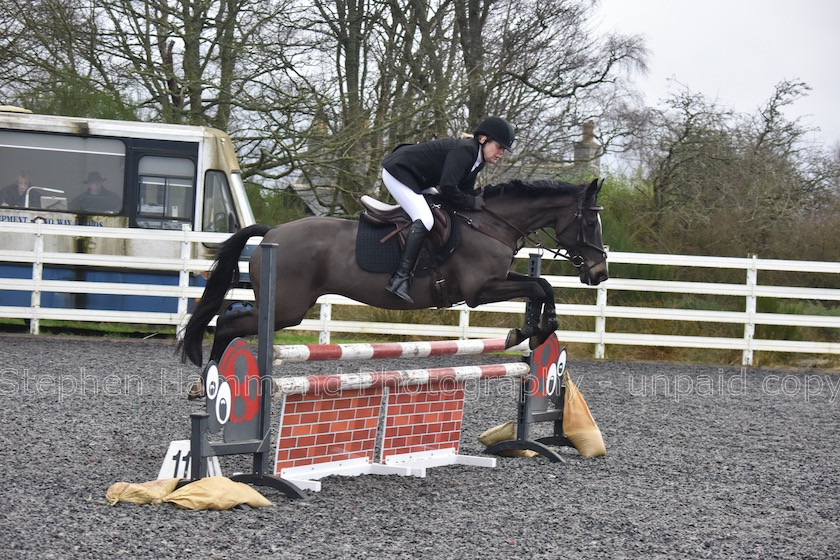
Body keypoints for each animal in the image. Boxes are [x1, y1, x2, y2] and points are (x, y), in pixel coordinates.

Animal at [179, 177, 612, 366]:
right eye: (591, 222)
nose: (599, 273)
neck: (490, 223)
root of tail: (271, 233)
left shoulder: (494, 283)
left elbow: (541, 284)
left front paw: (534, 330)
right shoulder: (479, 290)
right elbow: (538, 288)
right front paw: (530, 331)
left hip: (284, 308)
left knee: (230, 317)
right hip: (288, 310)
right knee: (230, 323)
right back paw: (210, 381)